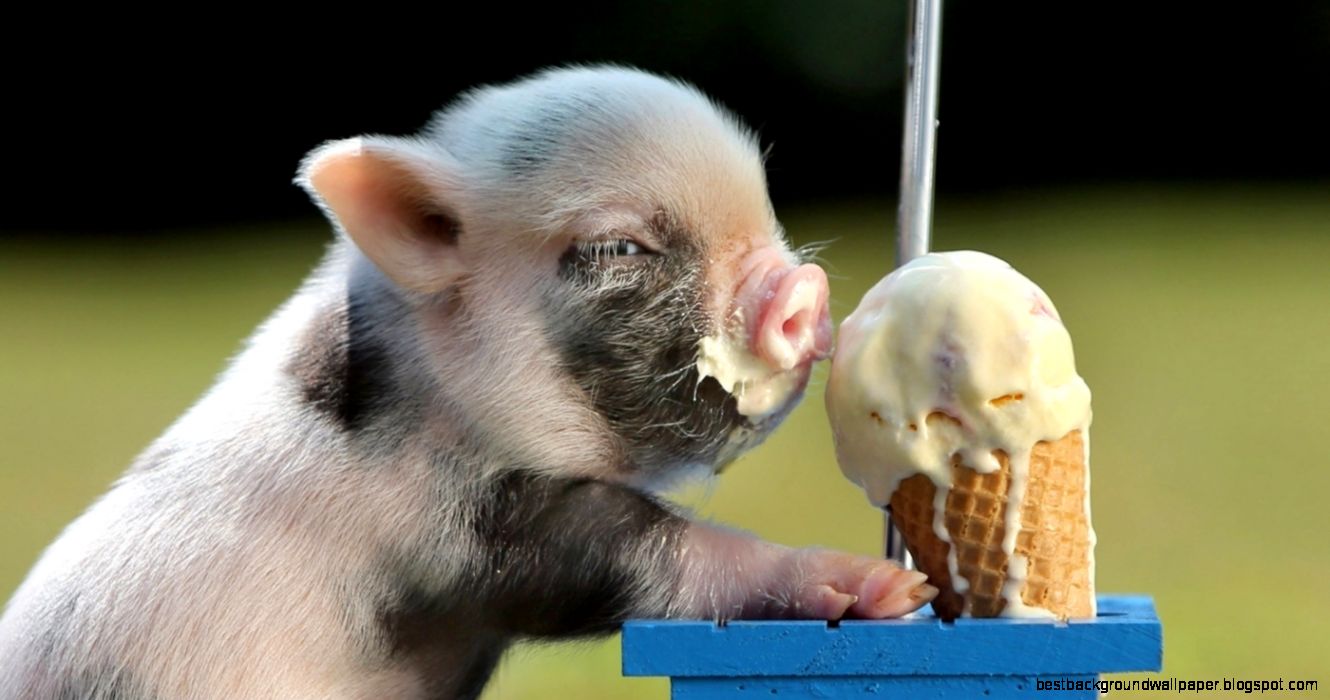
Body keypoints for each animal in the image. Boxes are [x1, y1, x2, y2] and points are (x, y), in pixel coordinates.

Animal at [0, 66, 936, 700]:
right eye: (618, 247)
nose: (803, 292)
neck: (430, 392)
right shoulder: (453, 532)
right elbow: (658, 556)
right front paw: (882, 588)